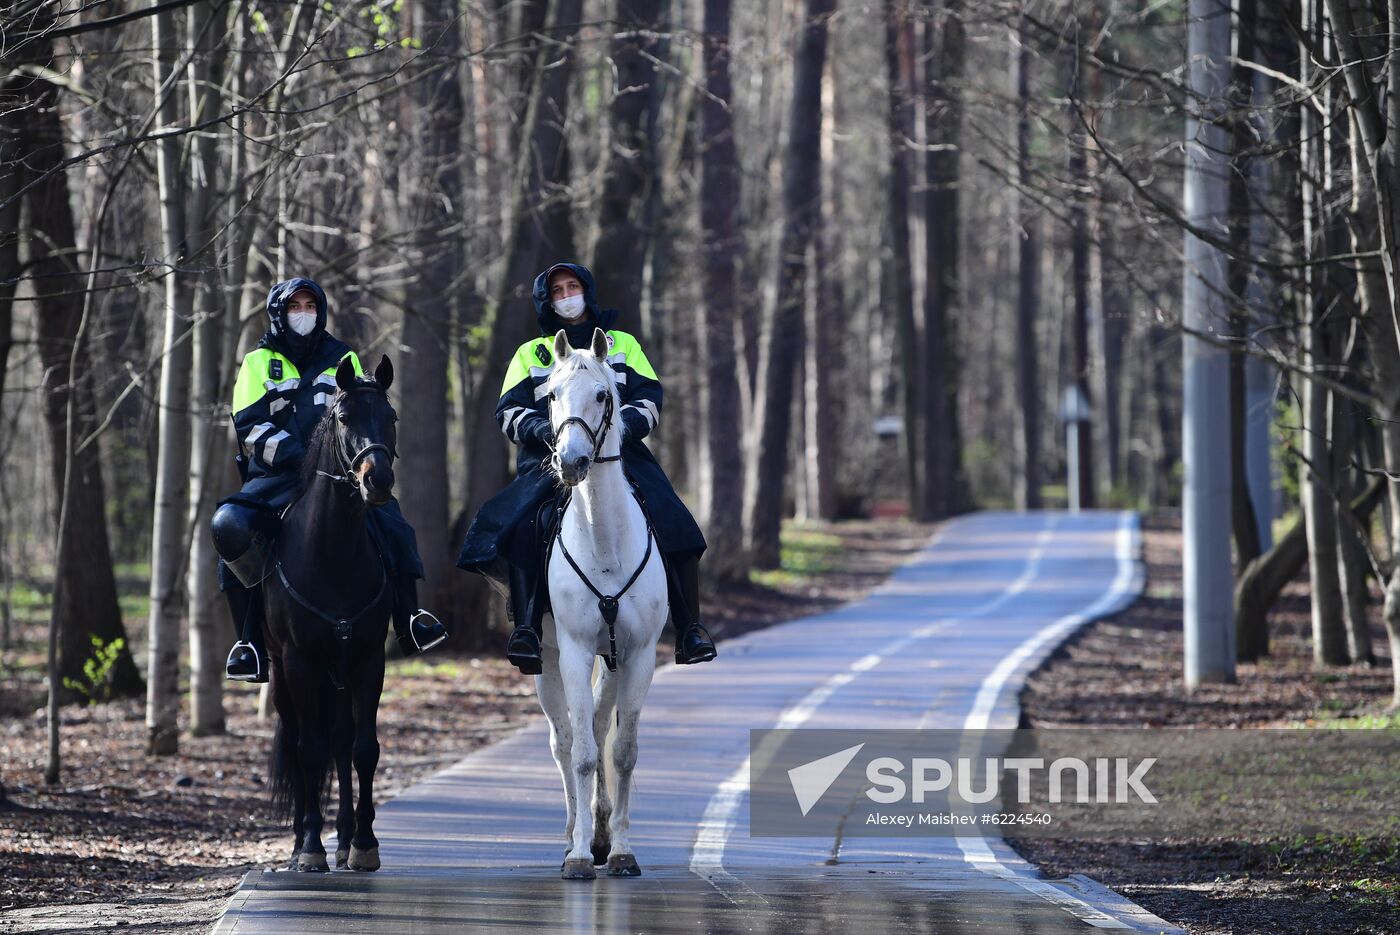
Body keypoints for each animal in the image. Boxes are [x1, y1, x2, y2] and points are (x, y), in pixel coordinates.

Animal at [264, 354, 397, 873]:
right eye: (344, 417)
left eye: (391, 417)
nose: (377, 481)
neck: (334, 553)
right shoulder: (300, 661)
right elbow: (309, 750)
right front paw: (310, 848)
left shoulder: (367, 659)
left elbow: (363, 749)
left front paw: (363, 843)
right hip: (283, 673)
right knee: (301, 742)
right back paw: (303, 841)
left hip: (337, 676)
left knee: (341, 742)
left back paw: (341, 838)